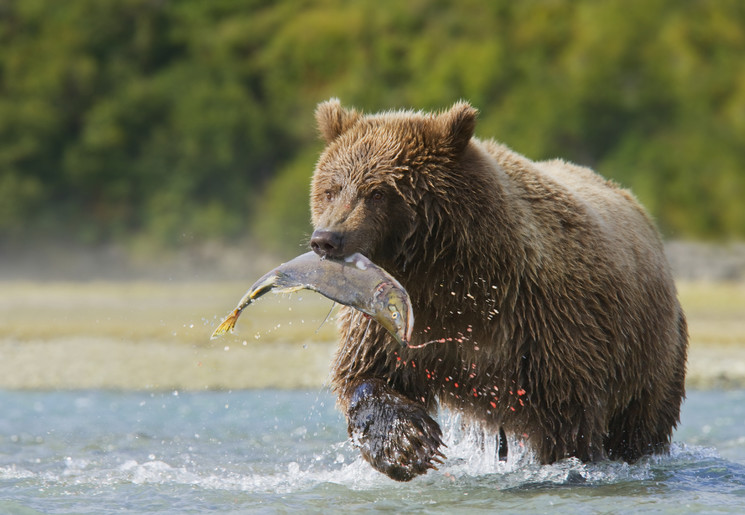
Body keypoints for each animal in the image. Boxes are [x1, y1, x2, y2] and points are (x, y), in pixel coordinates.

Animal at [306, 99, 684, 482]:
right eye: (331, 189)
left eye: (378, 192)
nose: (326, 239)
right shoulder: (393, 319)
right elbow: (368, 371)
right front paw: (405, 444)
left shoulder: (543, 322)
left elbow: (566, 417)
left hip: (648, 353)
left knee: (639, 424)